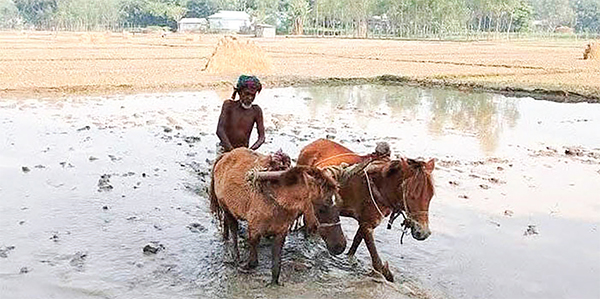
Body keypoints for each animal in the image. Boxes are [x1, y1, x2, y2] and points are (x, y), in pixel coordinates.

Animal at [211, 149, 350, 288]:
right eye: (321, 209)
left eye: (340, 205)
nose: (340, 246)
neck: (277, 198)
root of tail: (225, 156)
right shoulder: (254, 228)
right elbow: (253, 260)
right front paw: (244, 266)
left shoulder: (281, 232)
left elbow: (276, 263)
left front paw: (273, 283)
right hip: (226, 209)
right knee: (233, 230)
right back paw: (235, 256)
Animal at [296, 139, 434, 282]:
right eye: (411, 195)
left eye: (431, 195)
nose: (423, 233)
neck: (381, 185)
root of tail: (313, 144)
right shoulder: (367, 225)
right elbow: (376, 261)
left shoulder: (367, 223)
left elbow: (355, 245)